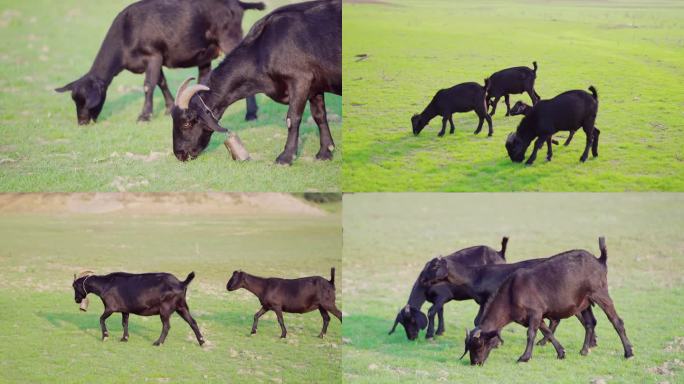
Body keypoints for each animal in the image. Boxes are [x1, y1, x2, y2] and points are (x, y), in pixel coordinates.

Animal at [55, 0, 264, 124]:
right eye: (75, 100)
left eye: (87, 102)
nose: (82, 122)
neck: (126, 35)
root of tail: (236, 4)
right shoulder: (157, 58)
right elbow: (161, 82)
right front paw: (169, 108)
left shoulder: (153, 55)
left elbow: (149, 85)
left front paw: (144, 116)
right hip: (206, 54)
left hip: (230, 39)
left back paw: (251, 114)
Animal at [74, 268, 206, 346]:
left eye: (74, 286)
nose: (76, 300)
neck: (105, 284)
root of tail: (181, 283)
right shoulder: (125, 310)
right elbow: (125, 323)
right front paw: (125, 338)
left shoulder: (110, 308)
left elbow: (101, 319)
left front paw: (105, 336)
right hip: (181, 307)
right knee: (192, 322)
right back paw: (202, 341)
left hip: (165, 309)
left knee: (167, 326)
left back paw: (158, 342)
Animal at [171, 0, 342, 164]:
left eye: (186, 123)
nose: (180, 154)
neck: (263, 48)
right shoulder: (315, 86)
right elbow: (319, 115)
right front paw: (325, 152)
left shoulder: (300, 80)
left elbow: (292, 118)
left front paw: (285, 157)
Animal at [462, 237, 632, 366]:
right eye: (468, 347)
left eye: (479, 345)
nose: (475, 363)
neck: (511, 293)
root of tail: (599, 260)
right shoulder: (535, 316)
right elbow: (547, 332)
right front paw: (561, 352)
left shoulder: (535, 313)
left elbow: (531, 334)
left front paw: (524, 357)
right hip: (584, 303)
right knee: (590, 323)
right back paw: (584, 350)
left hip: (600, 294)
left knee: (616, 321)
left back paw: (628, 352)